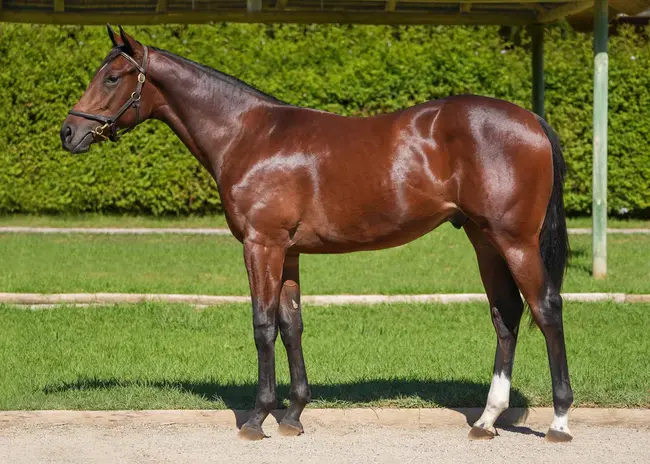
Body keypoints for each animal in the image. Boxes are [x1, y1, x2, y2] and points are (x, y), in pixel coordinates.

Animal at [58, 25, 568, 442]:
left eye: (112, 77)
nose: (68, 132)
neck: (249, 135)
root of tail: (532, 120)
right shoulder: (287, 252)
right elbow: (291, 324)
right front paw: (293, 415)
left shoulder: (260, 245)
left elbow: (263, 324)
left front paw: (256, 418)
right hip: (483, 240)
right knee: (506, 314)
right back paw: (486, 420)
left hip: (514, 241)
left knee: (545, 308)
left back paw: (559, 421)